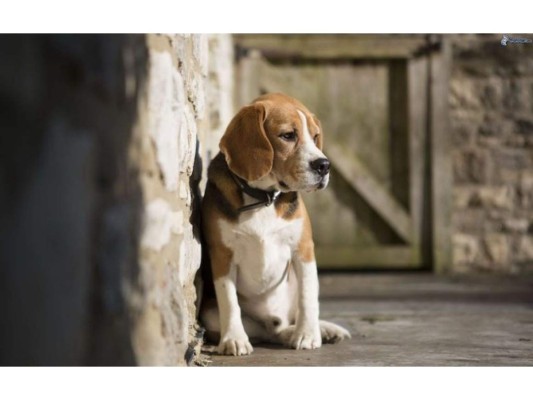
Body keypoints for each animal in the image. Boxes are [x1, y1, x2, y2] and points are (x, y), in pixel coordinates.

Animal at [200, 92, 350, 354]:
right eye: (288, 135)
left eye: (315, 136)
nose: (324, 165)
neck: (264, 199)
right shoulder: (222, 255)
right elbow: (229, 301)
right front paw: (233, 339)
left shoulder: (303, 250)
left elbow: (308, 298)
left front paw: (308, 335)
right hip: (209, 313)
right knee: (270, 332)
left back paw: (321, 330)